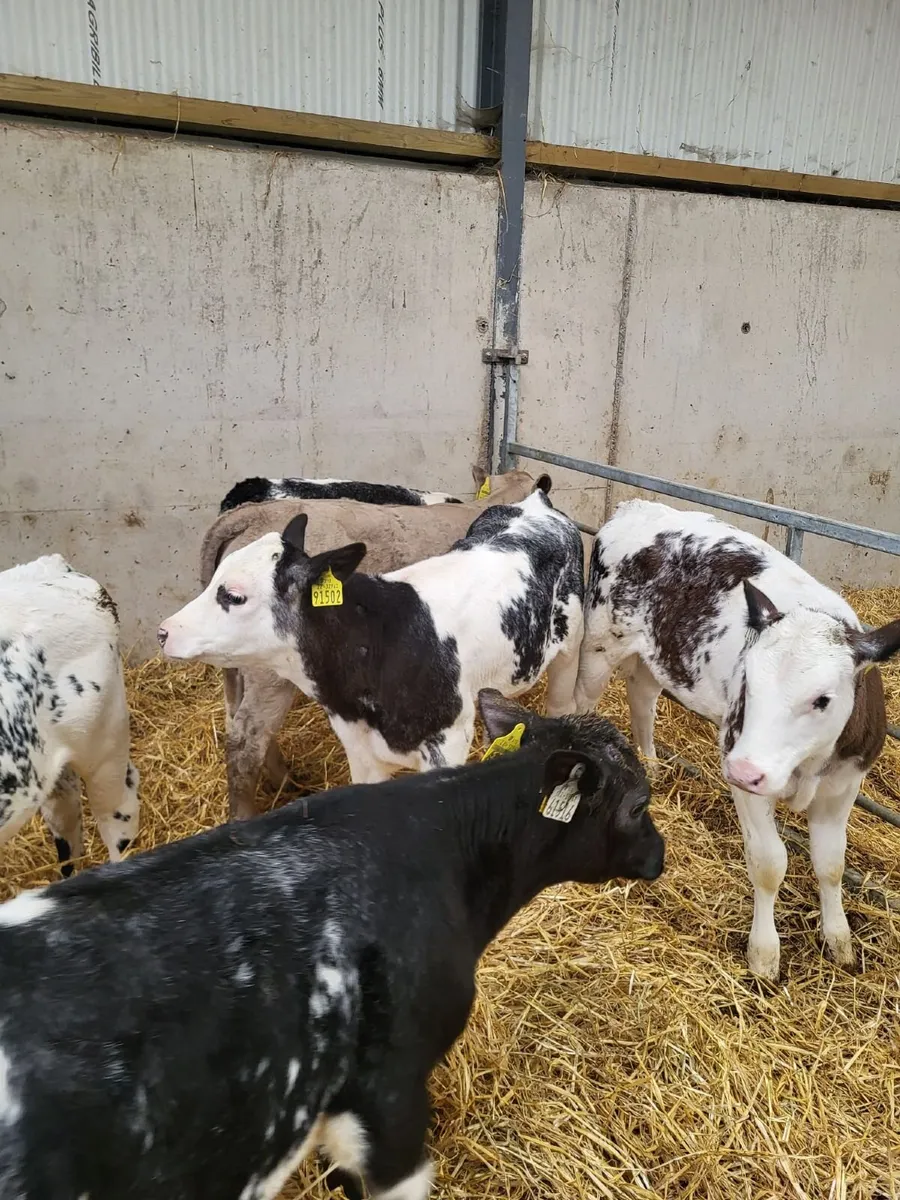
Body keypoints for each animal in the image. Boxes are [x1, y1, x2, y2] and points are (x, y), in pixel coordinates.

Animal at [161, 485, 585, 786]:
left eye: (234, 595)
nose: (164, 631)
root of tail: (536, 505)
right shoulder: (360, 750)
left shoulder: (445, 748)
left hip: (570, 649)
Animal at [573, 498, 900, 981]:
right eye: (748, 683)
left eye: (823, 699)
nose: (745, 769)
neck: (806, 768)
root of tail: (639, 506)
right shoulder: (742, 772)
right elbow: (769, 863)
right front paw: (764, 954)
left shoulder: (845, 784)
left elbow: (831, 863)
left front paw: (839, 938)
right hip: (599, 645)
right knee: (581, 702)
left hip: (659, 657)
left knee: (642, 698)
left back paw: (650, 764)